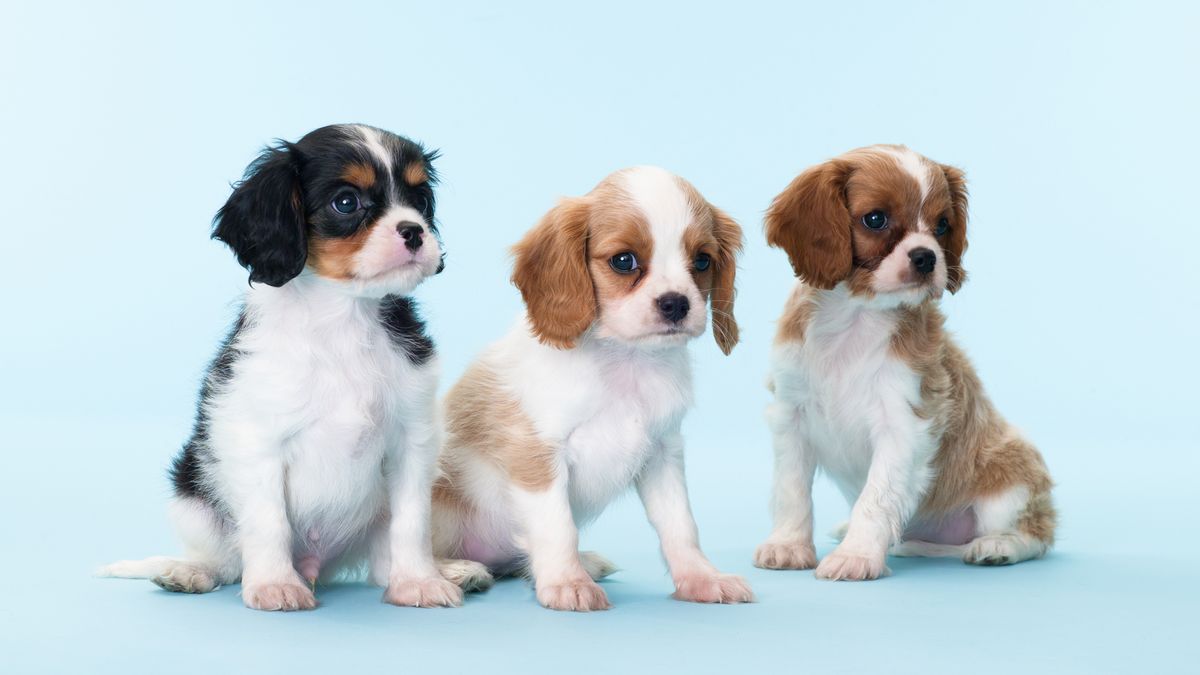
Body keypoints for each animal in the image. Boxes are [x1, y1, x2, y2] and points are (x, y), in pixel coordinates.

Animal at [100, 123, 480, 607]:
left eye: (420, 200)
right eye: (346, 202)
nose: (414, 231)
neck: (341, 316)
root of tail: (320, 566)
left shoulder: (412, 440)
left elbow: (412, 522)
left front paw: (420, 581)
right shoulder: (257, 441)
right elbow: (268, 521)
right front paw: (274, 584)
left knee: (381, 563)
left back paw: (449, 571)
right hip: (193, 498)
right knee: (225, 561)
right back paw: (189, 572)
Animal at [429, 164, 748, 610]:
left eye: (702, 261)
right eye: (623, 261)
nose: (676, 303)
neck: (626, 361)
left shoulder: (662, 454)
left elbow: (681, 526)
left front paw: (701, 579)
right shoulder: (539, 455)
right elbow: (557, 526)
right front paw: (567, 582)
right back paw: (456, 571)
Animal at [753, 145, 1056, 578]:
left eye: (943, 225)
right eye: (875, 219)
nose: (927, 257)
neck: (856, 316)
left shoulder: (903, 423)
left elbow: (876, 497)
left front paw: (857, 555)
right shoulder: (790, 415)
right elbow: (791, 490)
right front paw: (788, 545)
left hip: (1009, 485)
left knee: (1037, 536)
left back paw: (997, 546)